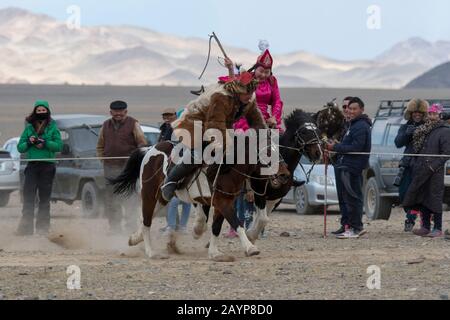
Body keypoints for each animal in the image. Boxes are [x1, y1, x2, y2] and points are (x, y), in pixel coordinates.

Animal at [109, 138, 288, 260]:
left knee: (144, 218)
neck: (226, 170)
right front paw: (251, 248)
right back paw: (151, 252)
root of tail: (150, 149)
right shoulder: (223, 203)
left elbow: (216, 227)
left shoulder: (223, 203)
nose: (285, 174)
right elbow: (237, 224)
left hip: (162, 198)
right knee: (146, 221)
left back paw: (134, 239)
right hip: (148, 194)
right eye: (267, 153)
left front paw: (214, 253)